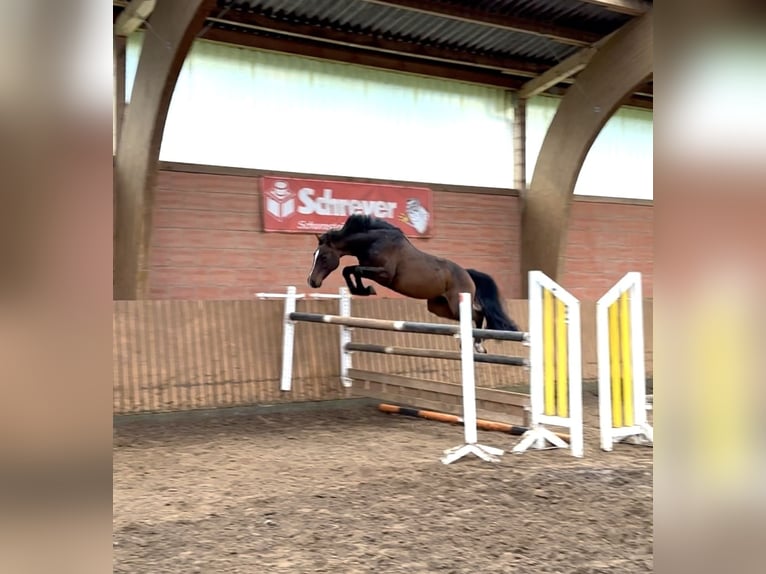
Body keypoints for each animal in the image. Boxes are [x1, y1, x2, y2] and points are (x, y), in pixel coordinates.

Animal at [306, 214, 520, 354]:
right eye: (314, 255)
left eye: (323, 257)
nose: (312, 281)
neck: (374, 241)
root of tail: (467, 273)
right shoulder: (369, 267)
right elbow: (348, 270)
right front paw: (361, 289)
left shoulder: (385, 274)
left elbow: (355, 270)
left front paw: (366, 289)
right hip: (438, 307)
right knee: (472, 316)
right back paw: (470, 343)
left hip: (455, 303)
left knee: (478, 314)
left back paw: (478, 345)